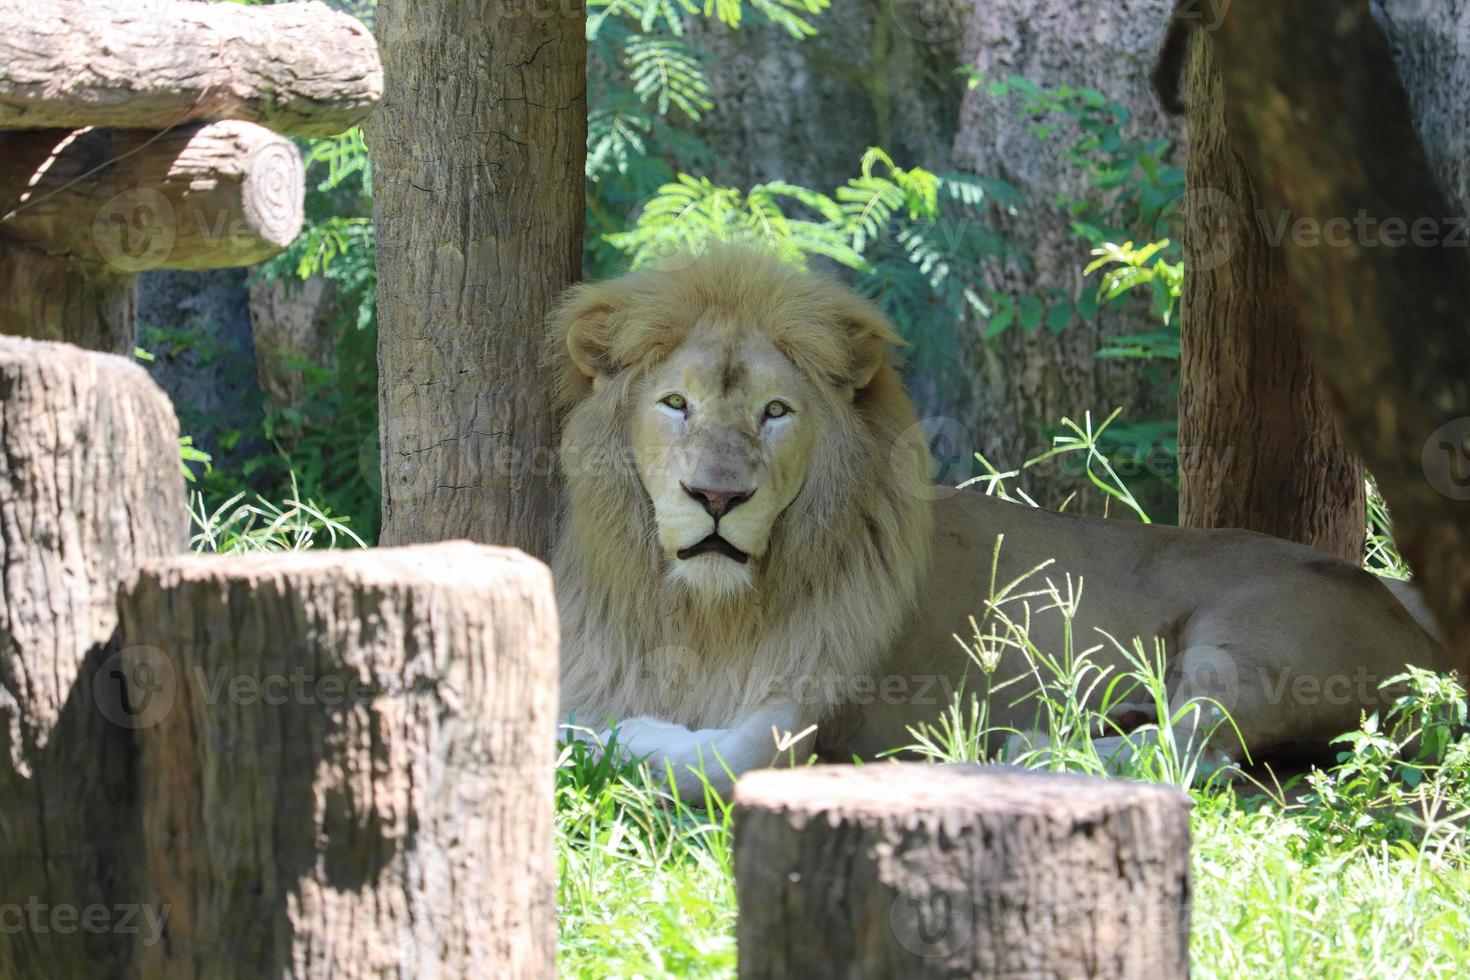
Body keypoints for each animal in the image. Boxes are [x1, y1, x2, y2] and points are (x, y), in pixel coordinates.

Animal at [546, 245, 1440, 799]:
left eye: (775, 412)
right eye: (676, 404)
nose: (717, 498)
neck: (706, 610)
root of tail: (1423, 628)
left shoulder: (825, 703)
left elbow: (734, 755)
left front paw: (600, 740)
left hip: (1249, 640)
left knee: (1198, 750)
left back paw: (1036, 746)